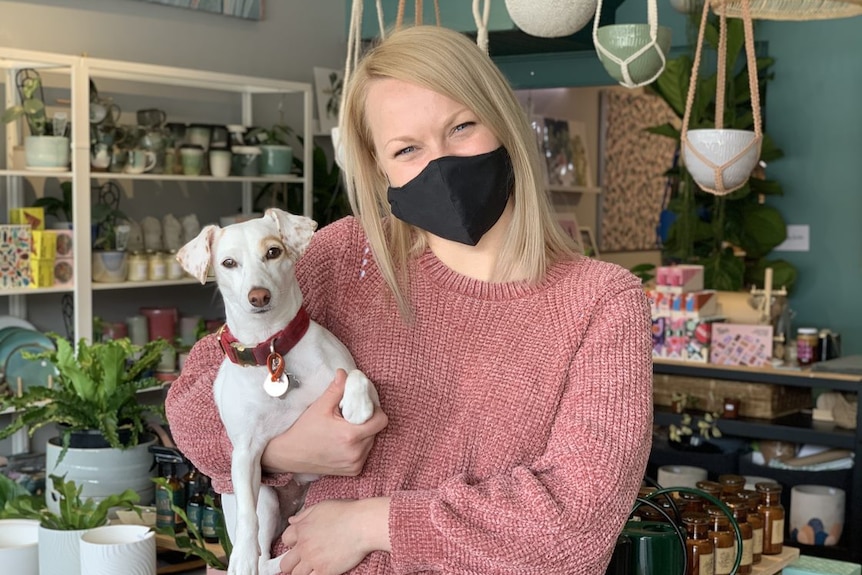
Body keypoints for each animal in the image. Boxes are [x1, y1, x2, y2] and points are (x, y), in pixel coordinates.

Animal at [176, 209, 378, 575]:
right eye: (228, 263)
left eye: (273, 251)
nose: (258, 296)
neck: (272, 350)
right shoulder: (244, 453)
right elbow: (247, 518)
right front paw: (241, 558)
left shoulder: (356, 379)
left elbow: (356, 375)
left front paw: (356, 406)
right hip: (267, 498)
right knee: (264, 556)